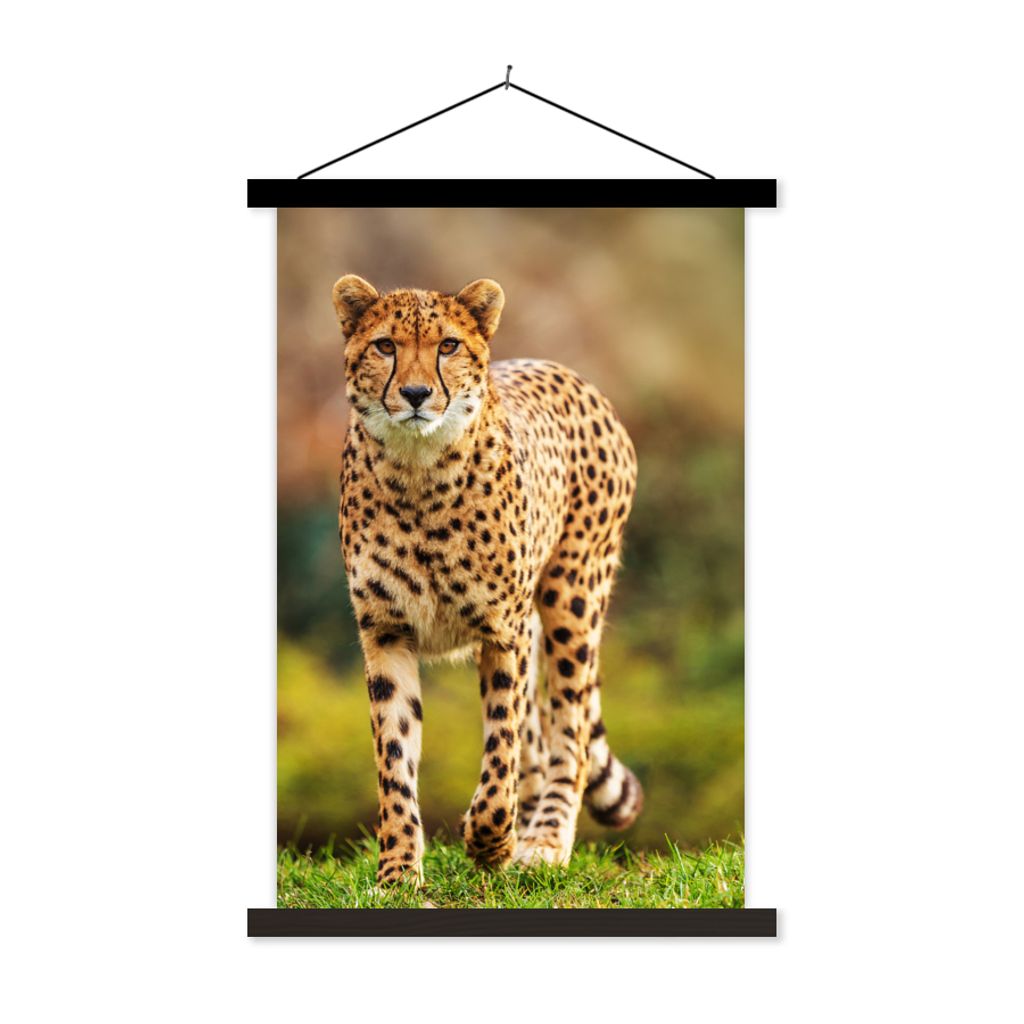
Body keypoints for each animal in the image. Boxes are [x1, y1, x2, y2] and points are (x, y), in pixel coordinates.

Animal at [333, 273, 644, 885]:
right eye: (385, 346)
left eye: (448, 346)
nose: (415, 394)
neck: (419, 471)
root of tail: (569, 373)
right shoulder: (386, 632)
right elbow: (394, 757)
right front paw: (398, 870)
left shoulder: (505, 630)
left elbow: (502, 747)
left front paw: (489, 842)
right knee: (541, 740)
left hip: (572, 597)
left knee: (567, 734)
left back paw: (543, 841)